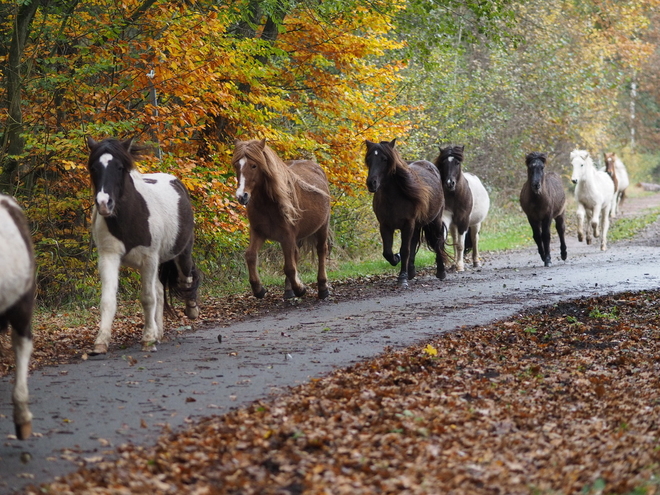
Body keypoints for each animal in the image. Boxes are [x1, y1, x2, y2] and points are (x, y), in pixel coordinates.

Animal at [87, 138, 201, 354]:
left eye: (120, 167)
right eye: (93, 168)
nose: (104, 203)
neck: (129, 217)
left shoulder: (149, 258)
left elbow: (147, 298)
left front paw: (147, 339)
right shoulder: (109, 257)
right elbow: (108, 300)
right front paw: (101, 342)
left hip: (181, 253)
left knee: (185, 279)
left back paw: (191, 310)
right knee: (159, 290)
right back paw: (159, 332)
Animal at [233, 139, 336, 298]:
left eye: (254, 165)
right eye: (236, 165)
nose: (241, 196)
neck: (268, 204)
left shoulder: (287, 236)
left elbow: (289, 267)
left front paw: (300, 289)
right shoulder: (259, 233)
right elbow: (250, 256)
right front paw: (258, 289)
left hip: (322, 226)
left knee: (321, 251)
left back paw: (322, 288)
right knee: (296, 255)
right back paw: (288, 291)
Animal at [364, 140, 446, 286]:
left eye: (384, 159)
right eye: (368, 159)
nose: (371, 183)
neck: (393, 198)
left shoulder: (408, 224)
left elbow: (405, 250)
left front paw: (402, 277)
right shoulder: (385, 226)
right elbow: (387, 252)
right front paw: (396, 259)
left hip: (434, 220)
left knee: (438, 242)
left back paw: (441, 272)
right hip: (417, 225)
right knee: (414, 243)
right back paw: (411, 272)